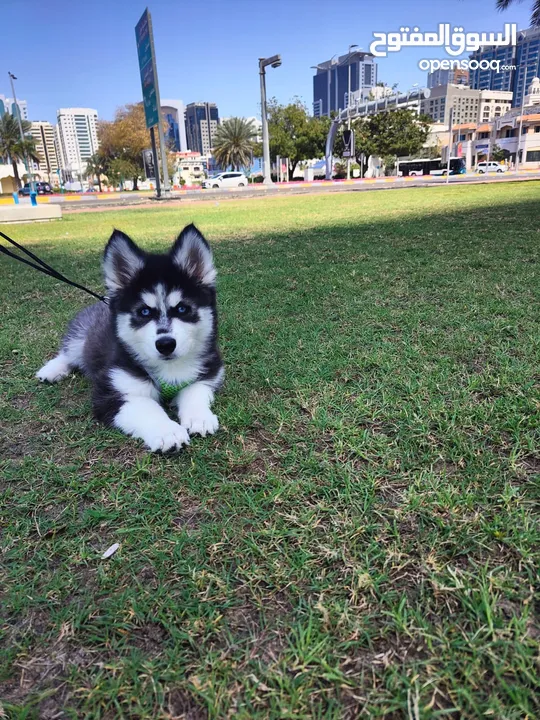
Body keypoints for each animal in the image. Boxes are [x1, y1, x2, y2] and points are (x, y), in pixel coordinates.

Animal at [37, 222, 224, 452]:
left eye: (182, 308)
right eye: (144, 311)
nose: (165, 344)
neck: (169, 368)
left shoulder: (210, 372)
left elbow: (195, 390)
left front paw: (199, 417)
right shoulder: (110, 391)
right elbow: (145, 406)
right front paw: (167, 431)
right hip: (81, 334)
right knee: (69, 353)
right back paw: (51, 370)